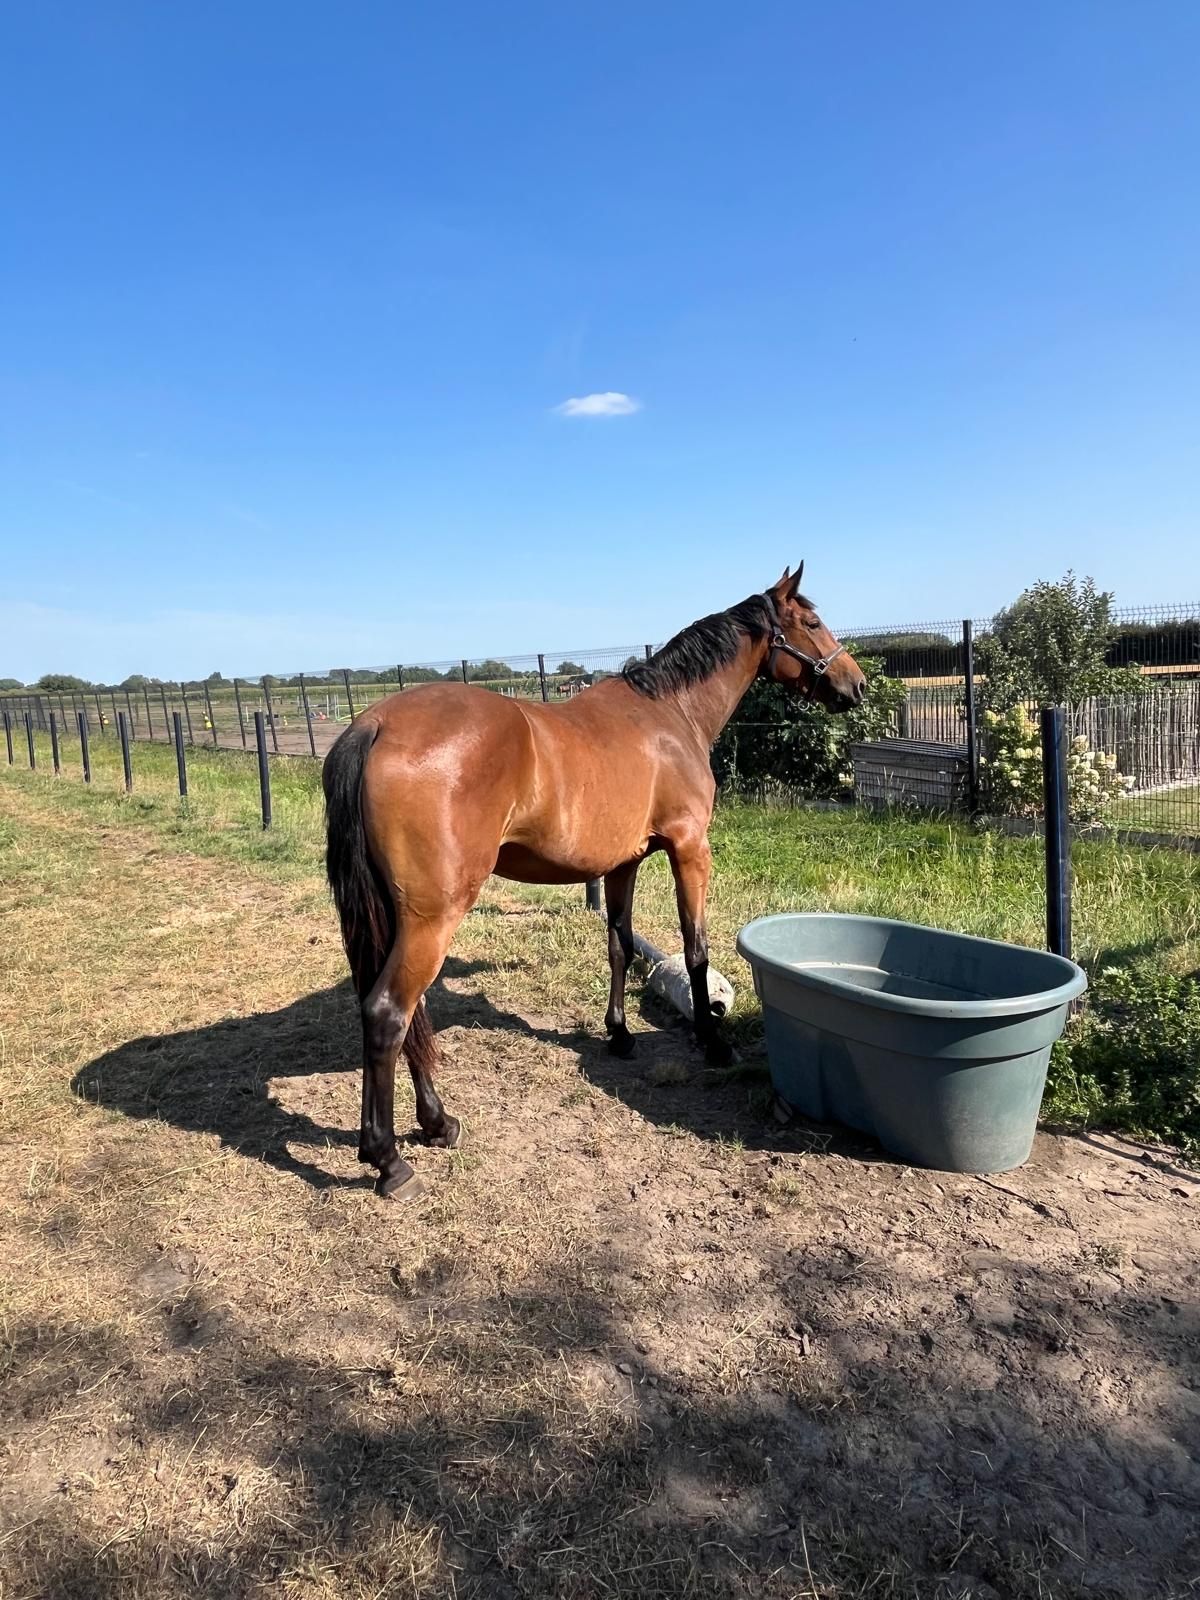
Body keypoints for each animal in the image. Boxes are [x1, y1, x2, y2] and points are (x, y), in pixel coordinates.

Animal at [323, 564, 866, 1199]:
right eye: (812, 621)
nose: (856, 686)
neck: (670, 714)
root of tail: (375, 724)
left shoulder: (623, 863)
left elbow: (620, 946)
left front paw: (620, 1035)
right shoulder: (690, 849)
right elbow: (695, 949)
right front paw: (713, 1041)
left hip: (404, 918)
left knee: (410, 1013)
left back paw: (437, 1123)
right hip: (434, 916)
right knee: (389, 1014)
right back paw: (389, 1159)